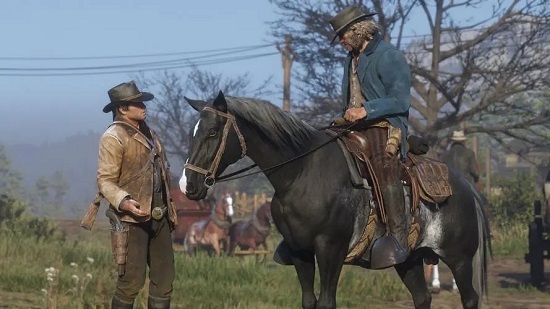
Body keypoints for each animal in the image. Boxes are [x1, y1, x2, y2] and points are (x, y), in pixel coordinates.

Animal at [182, 92, 492, 308]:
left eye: (213, 132)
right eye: (192, 132)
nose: (189, 184)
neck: (300, 173)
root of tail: (466, 187)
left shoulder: (330, 251)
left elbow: (327, 302)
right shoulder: (300, 252)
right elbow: (309, 301)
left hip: (459, 259)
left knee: (469, 299)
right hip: (410, 260)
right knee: (422, 298)